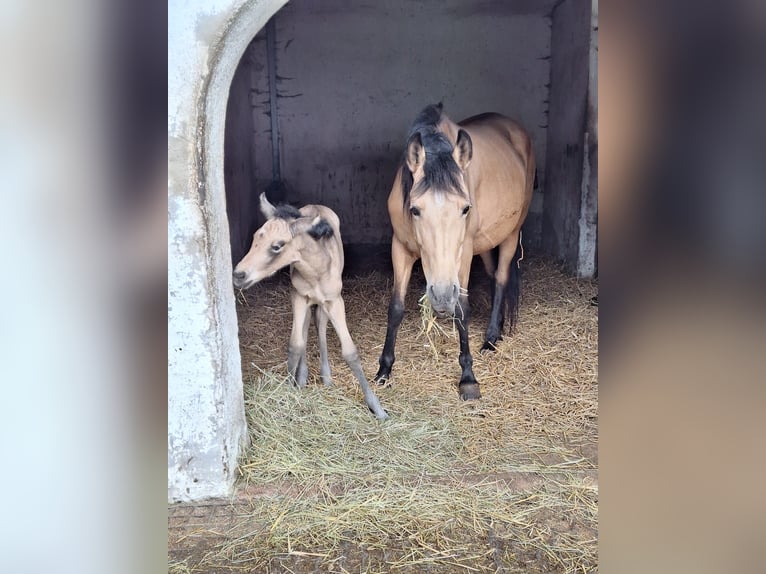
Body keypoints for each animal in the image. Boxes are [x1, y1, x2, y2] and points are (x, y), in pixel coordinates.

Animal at [234, 195, 390, 424]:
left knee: (320, 323)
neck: (315, 271)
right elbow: (295, 344)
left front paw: (377, 409)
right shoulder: (298, 296)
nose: (238, 274)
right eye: (255, 237)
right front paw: (290, 389)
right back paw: (303, 376)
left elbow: (350, 352)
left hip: (324, 305)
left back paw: (326, 376)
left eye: (277, 246)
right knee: (307, 326)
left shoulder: (335, 301)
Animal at [376, 103, 536, 400]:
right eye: (415, 209)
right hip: (485, 243)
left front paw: (468, 378)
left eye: (465, 208)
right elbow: (396, 308)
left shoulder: (463, 254)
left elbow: (462, 309)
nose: (440, 295)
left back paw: (491, 338)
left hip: (509, 234)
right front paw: (384, 370)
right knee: (493, 274)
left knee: (501, 278)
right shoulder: (400, 248)